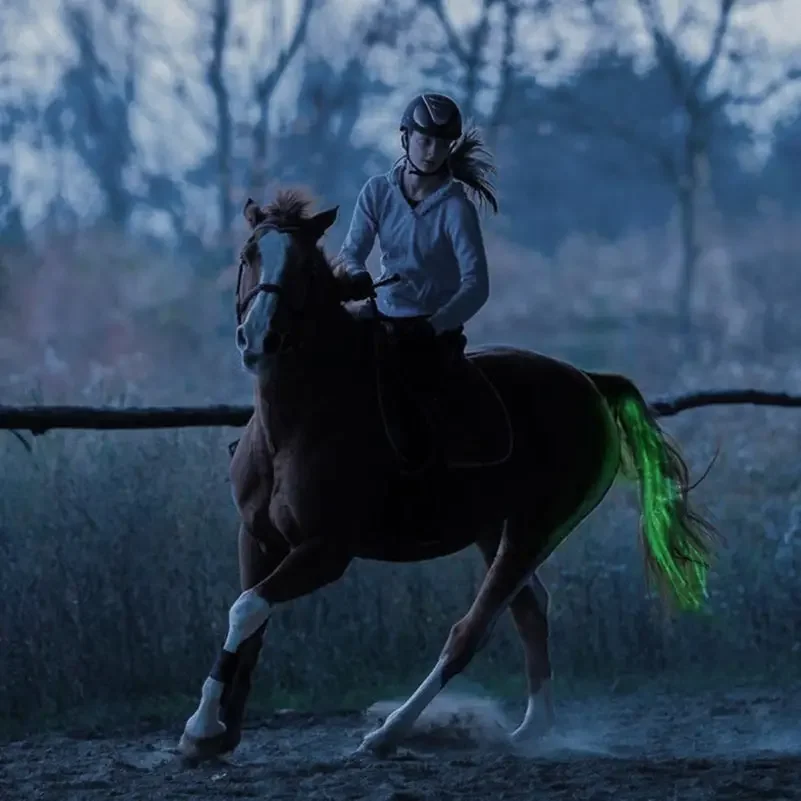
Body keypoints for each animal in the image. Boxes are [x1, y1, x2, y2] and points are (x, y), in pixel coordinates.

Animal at [178, 191, 716, 760]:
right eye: (248, 254)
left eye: (303, 267)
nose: (259, 338)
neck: (297, 420)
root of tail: (590, 382)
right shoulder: (258, 537)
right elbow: (250, 620)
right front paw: (217, 732)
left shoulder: (325, 551)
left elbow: (246, 609)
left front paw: (201, 727)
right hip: (496, 530)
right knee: (529, 609)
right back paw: (530, 730)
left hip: (536, 529)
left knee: (470, 630)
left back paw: (389, 733)